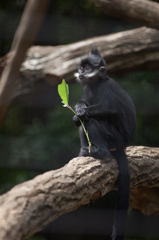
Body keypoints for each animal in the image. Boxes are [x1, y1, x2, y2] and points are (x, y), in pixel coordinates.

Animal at [72, 47, 136, 240]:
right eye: (81, 68)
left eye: (87, 68)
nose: (81, 73)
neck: (95, 84)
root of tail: (123, 145)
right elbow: (83, 109)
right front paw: (78, 108)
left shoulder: (105, 88)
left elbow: (112, 110)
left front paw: (79, 112)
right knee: (84, 123)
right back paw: (85, 151)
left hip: (116, 137)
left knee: (92, 120)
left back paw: (100, 151)